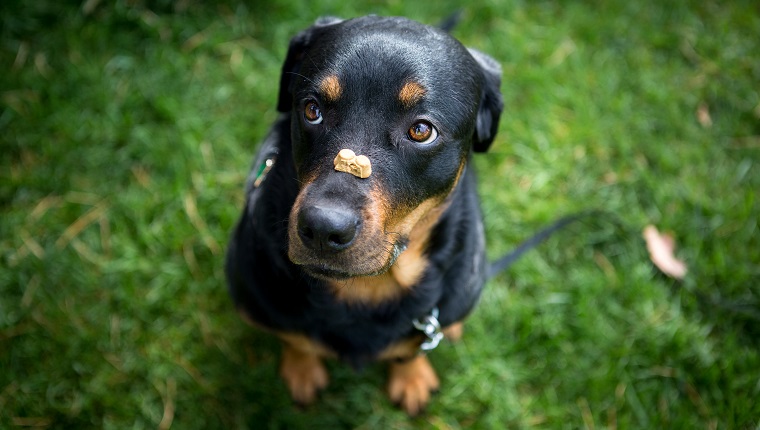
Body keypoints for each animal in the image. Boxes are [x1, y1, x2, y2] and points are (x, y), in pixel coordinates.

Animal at [226, 15, 504, 414]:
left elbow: (410, 349)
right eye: (312, 110)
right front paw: (302, 370)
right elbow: (294, 338)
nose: (323, 227)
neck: (364, 291)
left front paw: (412, 377)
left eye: (422, 130)